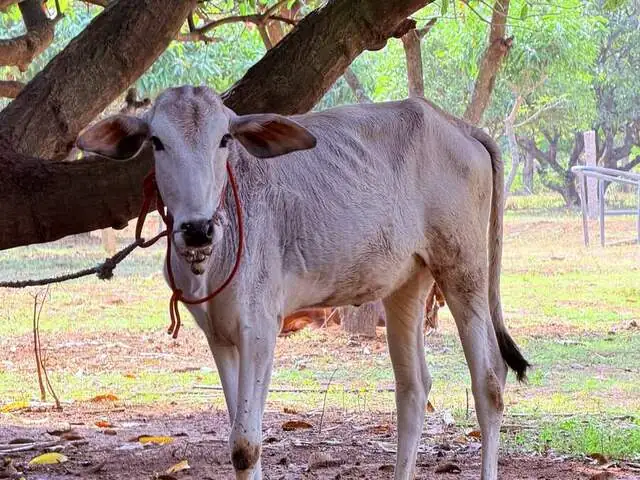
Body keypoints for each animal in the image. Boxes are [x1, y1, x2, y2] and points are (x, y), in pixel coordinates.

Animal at [77, 85, 529, 480]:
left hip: (464, 271)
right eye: (156, 141)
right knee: (414, 388)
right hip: (407, 284)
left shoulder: (260, 328)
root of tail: (459, 126)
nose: (197, 229)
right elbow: (242, 436)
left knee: (490, 382)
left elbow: (246, 445)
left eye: (224, 139)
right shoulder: (219, 337)